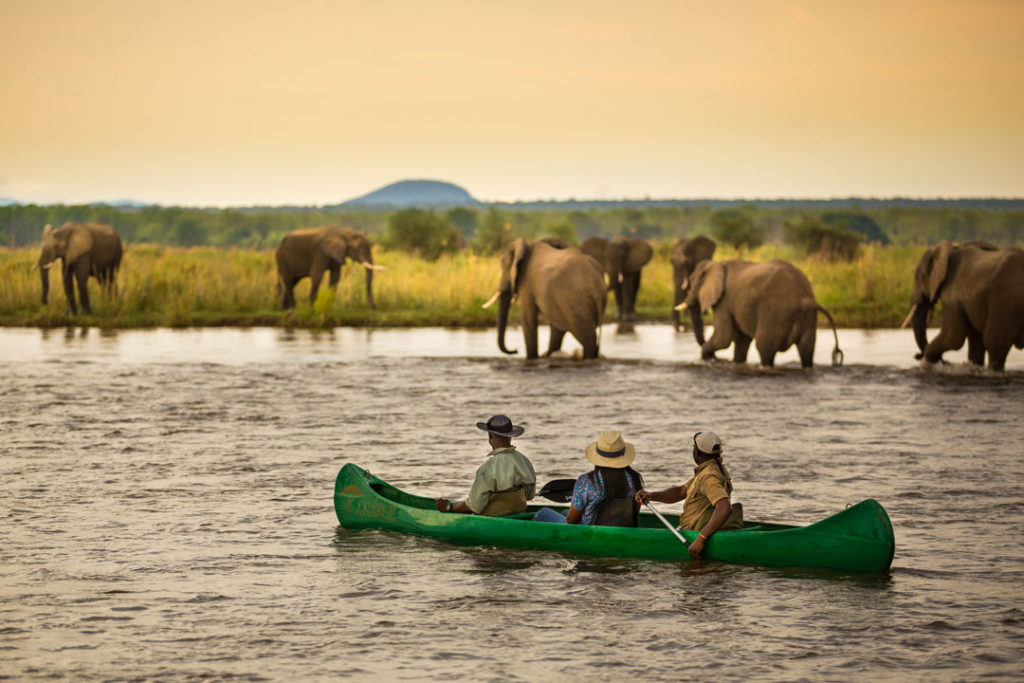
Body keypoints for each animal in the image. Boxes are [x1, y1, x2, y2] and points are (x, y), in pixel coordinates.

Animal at [677, 258, 843, 368]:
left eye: (691, 285)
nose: (715, 359)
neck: (717, 264)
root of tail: (806, 299)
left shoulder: (724, 302)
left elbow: (723, 338)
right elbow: (741, 340)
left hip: (775, 313)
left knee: (764, 347)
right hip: (807, 319)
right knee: (806, 350)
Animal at [901, 240, 1024, 371]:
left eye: (918, 277)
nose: (916, 355)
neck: (950, 250)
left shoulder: (952, 294)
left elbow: (952, 337)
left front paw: (926, 363)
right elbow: (975, 341)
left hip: (1006, 301)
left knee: (994, 342)